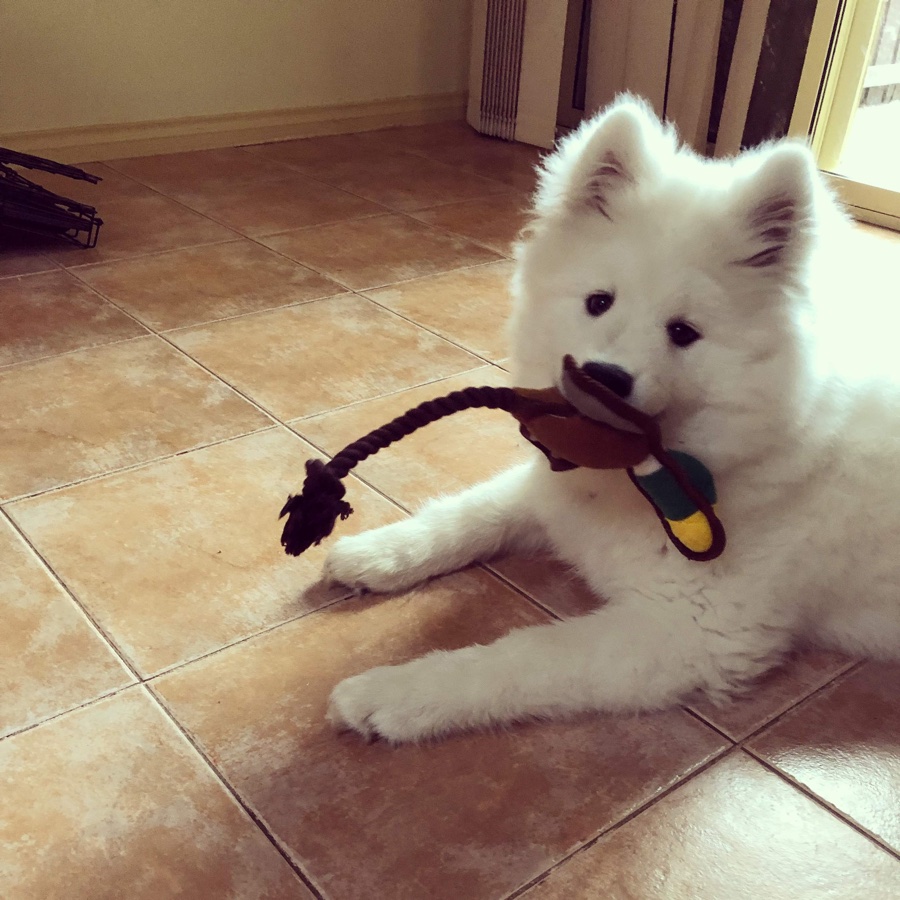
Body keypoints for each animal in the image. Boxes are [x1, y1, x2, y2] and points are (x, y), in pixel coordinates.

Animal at [320, 96, 896, 744]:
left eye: (682, 332)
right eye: (599, 302)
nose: (603, 377)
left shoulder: (687, 634)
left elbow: (520, 658)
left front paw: (388, 695)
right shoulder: (554, 490)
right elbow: (471, 513)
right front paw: (378, 553)